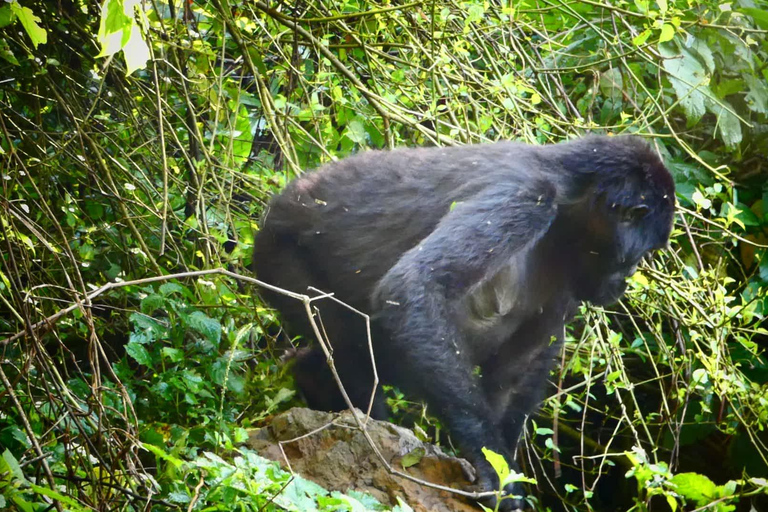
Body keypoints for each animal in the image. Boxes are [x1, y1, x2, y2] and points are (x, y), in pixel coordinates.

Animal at [250, 134, 672, 510]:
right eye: (643, 251)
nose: (627, 278)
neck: (571, 189)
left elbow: (519, 368)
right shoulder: (525, 197)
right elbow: (415, 288)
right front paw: (490, 468)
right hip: (278, 253)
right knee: (352, 348)